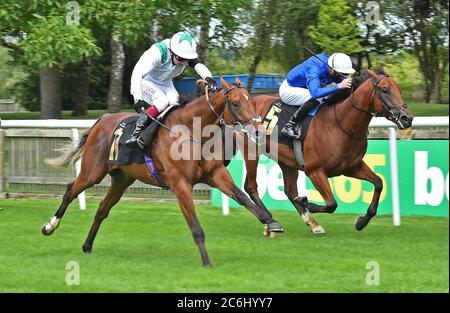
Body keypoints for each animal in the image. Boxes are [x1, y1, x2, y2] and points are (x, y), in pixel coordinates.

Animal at [41, 78, 282, 266]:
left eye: (251, 102)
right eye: (235, 103)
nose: (259, 131)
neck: (191, 132)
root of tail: (102, 120)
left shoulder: (215, 174)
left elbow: (240, 196)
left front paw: (270, 223)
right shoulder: (180, 184)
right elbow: (196, 228)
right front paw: (207, 262)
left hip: (122, 179)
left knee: (102, 209)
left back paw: (87, 245)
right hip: (92, 172)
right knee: (71, 190)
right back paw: (50, 226)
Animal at [237, 69, 414, 233]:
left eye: (398, 88)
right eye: (385, 90)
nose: (407, 118)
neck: (341, 124)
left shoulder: (351, 167)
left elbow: (378, 182)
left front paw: (362, 221)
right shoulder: (315, 171)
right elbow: (331, 204)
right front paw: (305, 201)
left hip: (286, 161)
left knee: (289, 190)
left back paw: (312, 223)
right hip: (251, 151)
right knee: (251, 186)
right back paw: (269, 219)